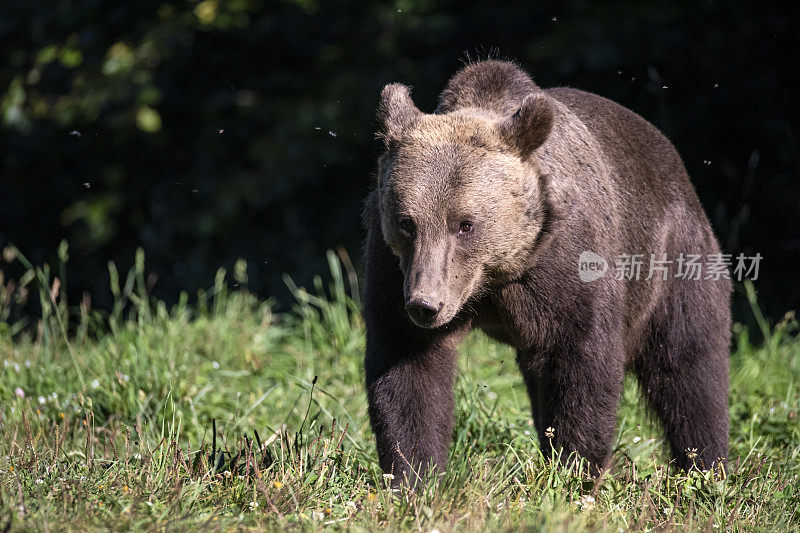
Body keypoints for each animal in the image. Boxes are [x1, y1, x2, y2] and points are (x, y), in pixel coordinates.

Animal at [362, 60, 732, 484]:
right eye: (407, 222)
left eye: (465, 224)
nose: (427, 305)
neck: (495, 278)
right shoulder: (393, 268)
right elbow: (407, 368)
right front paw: (413, 475)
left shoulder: (566, 265)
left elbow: (579, 363)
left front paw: (573, 467)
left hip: (674, 255)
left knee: (688, 363)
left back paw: (706, 467)